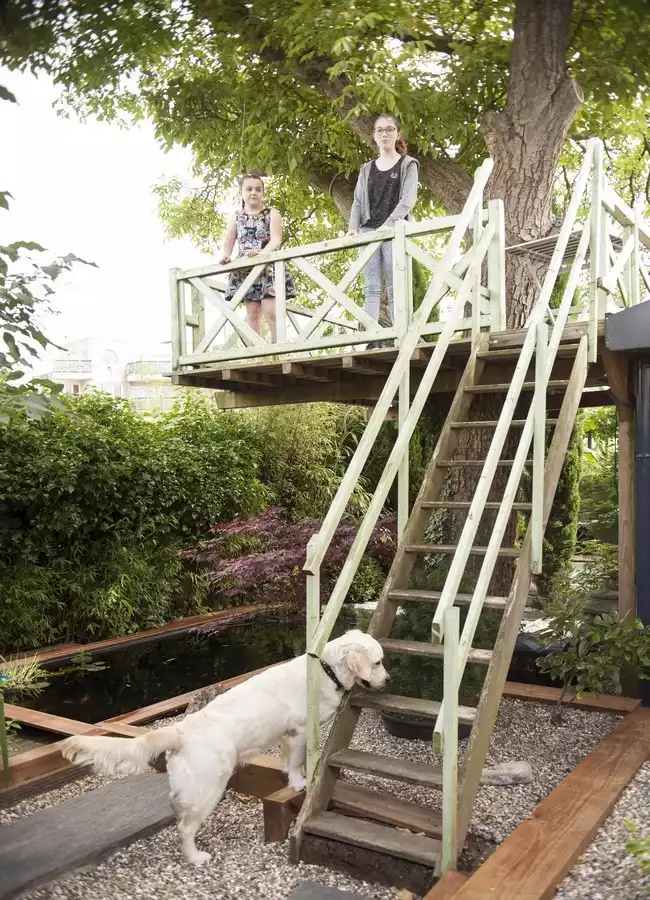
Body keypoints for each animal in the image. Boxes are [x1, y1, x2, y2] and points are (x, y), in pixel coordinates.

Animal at [59, 628, 384, 868]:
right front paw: (298, 782)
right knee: (185, 828)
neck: (327, 668)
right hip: (210, 787)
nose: (388, 679)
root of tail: (180, 730)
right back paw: (195, 858)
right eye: (379, 662)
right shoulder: (298, 731)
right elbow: (295, 764)